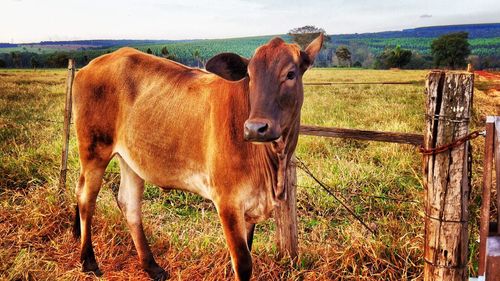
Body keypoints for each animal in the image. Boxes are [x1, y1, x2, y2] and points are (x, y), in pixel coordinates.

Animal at [73, 34, 324, 278]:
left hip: (131, 159)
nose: (255, 128)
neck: (273, 165)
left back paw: (152, 267)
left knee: (129, 204)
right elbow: (243, 263)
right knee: (86, 197)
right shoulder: (227, 202)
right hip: (94, 150)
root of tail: (92, 64)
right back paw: (89, 261)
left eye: (290, 74)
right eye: (249, 76)